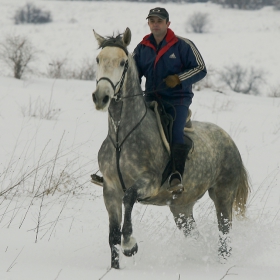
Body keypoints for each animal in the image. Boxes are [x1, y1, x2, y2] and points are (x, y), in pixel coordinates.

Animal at [91, 26, 249, 270]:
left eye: (123, 62)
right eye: (98, 59)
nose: (101, 97)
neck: (121, 137)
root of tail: (229, 139)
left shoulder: (149, 184)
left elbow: (129, 198)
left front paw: (130, 244)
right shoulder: (109, 190)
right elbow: (112, 236)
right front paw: (115, 268)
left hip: (223, 194)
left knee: (224, 233)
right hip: (181, 208)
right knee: (195, 235)